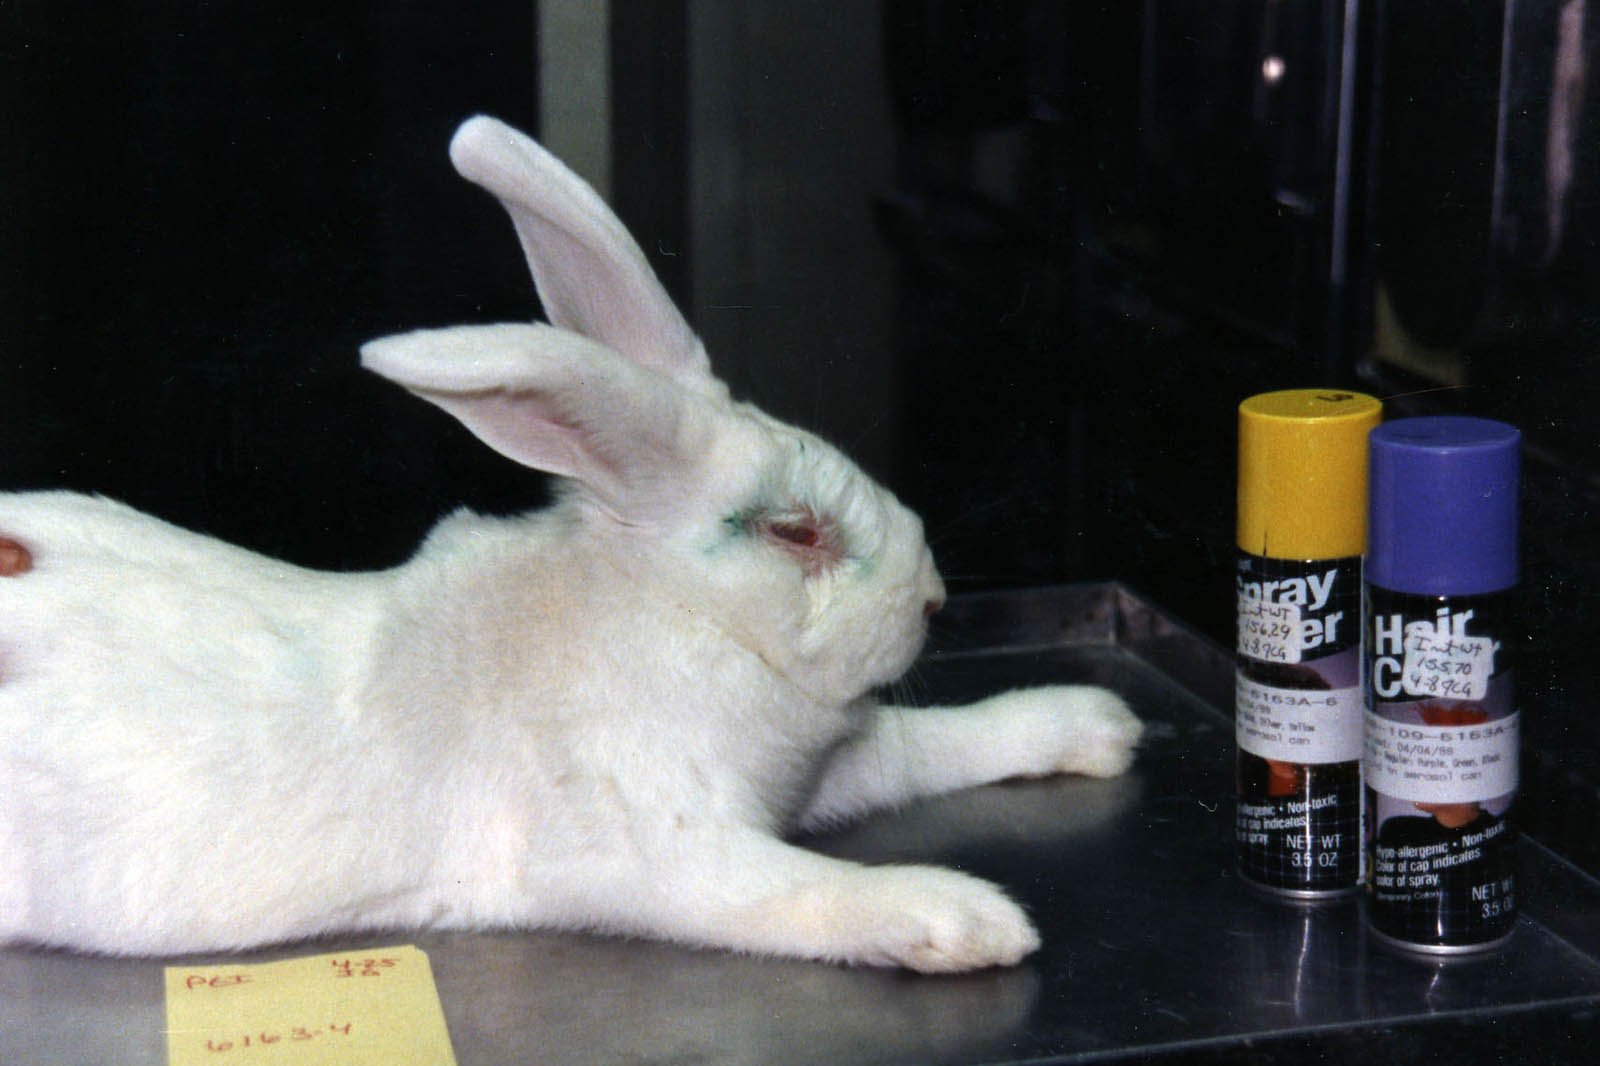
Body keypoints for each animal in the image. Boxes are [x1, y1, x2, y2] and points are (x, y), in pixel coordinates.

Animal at [3, 116, 1152, 973]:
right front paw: (965, 919)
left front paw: (1092, 725)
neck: (673, 615)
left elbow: (926, 745)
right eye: (795, 532)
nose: (932, 599)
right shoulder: (661, 849)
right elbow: (798, 892)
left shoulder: (826, 770)